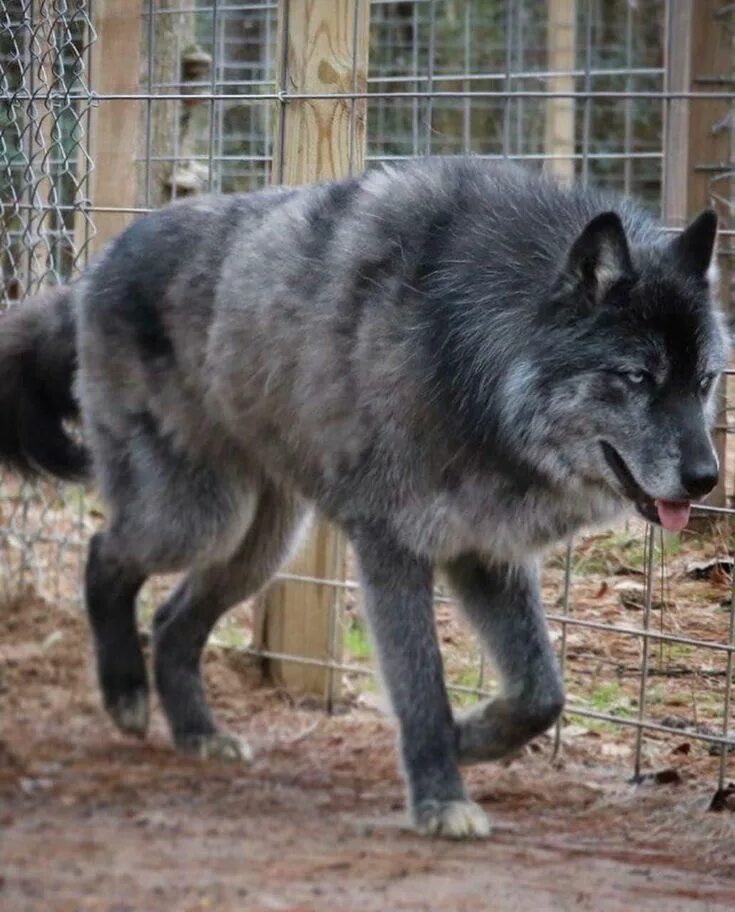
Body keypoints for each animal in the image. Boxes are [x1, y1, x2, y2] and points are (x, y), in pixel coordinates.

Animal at [0, 159, 724, 840]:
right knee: (104, 553)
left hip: (261, 547)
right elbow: (422, 683)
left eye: (704, 381)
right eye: (637, 377)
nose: (706, 478)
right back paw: (125, 692)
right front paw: (440, 797)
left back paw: (198, 732)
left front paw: (467, 739)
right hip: (198, 521)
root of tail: (96, 266)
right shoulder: (390, 547)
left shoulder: (485, 553)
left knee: (173, 620)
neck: (468, 351)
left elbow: (541, 694)